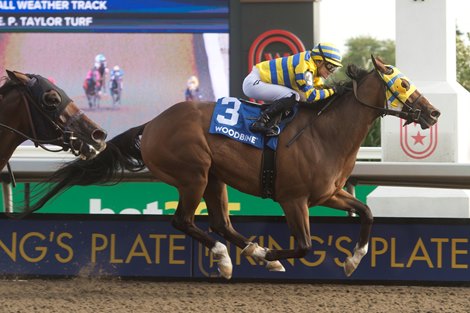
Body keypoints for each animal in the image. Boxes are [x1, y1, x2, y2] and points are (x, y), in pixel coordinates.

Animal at [23, 55, 440, 278]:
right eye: (403, 83)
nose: (434, 113)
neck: (326, 133)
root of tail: (153, 123)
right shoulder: (294, 199)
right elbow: (304, 246)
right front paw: (272, 255)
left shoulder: (329, 193)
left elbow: (367, 213)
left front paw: (352, 261)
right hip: (193, 173)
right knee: (184, 221)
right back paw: (228, 258)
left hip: (215, 178)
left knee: (221, 222)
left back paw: (251, 252)